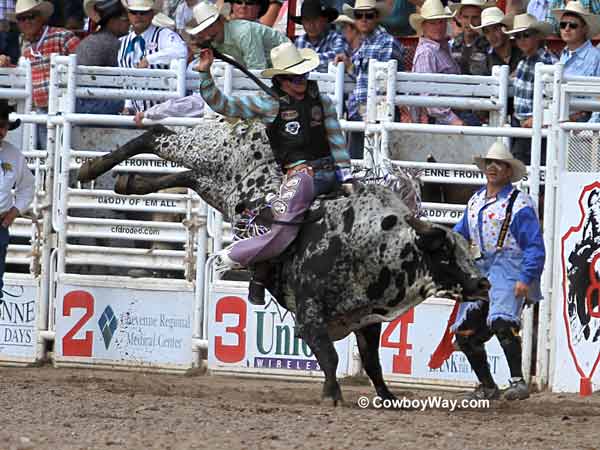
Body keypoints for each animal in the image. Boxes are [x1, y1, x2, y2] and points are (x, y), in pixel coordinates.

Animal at [77, 117, 488, 404]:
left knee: (185, 174)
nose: (482, 283)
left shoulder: (366, 321)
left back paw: (130, 183)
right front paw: (332, 395)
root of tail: (253, 123)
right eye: (444, 253)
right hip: (204, 150)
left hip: (214, 184)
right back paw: (91, 169)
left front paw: (388, 397)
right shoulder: (309, 312)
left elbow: (372, 362)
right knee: (157, 134)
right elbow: (329, 356)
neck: (372, 244)